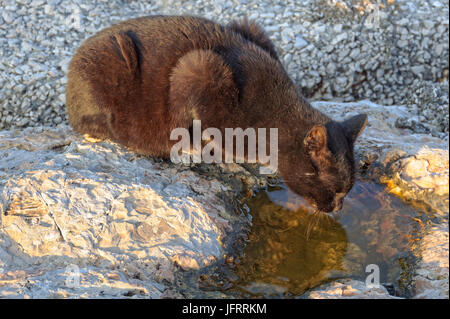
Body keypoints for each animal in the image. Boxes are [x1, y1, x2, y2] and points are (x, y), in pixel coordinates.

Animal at [67, 16, 370, 214]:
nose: (339, 207)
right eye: (336, 189)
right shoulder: (198, 68)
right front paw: (204, 151)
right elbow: (193, 124)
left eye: (347, 190)